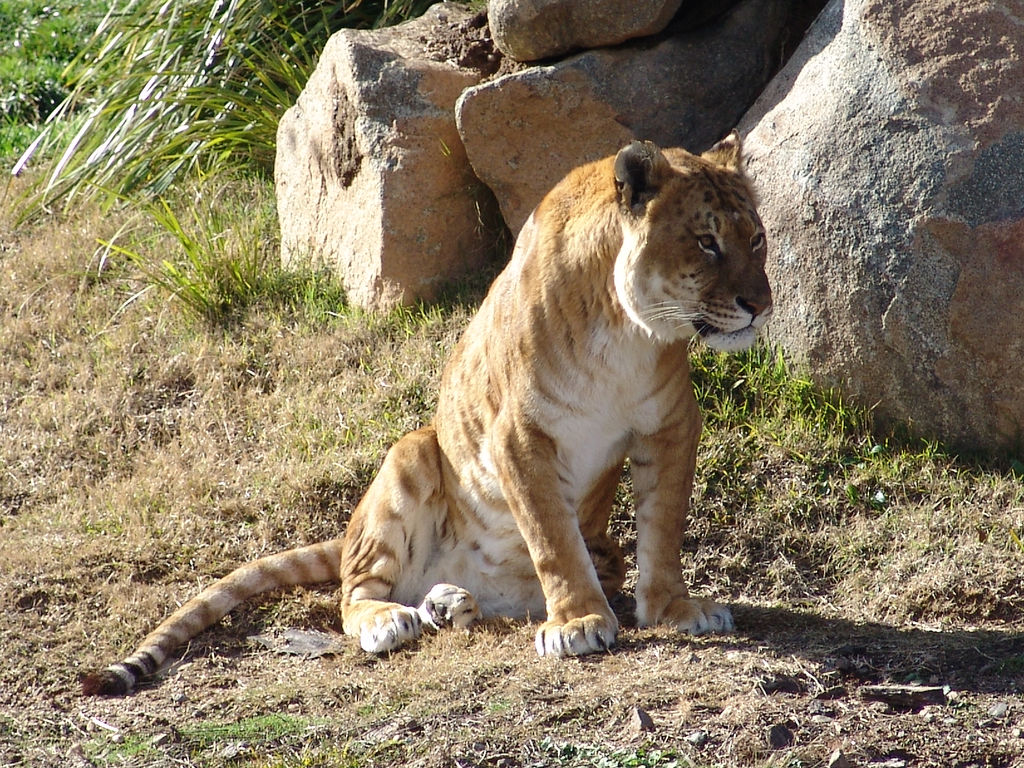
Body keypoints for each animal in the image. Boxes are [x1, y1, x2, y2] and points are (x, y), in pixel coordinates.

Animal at [82, 132, 772, 695]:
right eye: (707, 243)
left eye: (756, 238)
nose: (760, 306)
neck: (626, 330)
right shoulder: (517, 435)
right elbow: (552, 537)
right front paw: (578, 623)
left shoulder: (670, 423)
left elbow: (663, 526)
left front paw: (675, 610)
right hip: (411, 454)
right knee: (353, 594)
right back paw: (392, 620)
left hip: (584, 553)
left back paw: (448, 605)